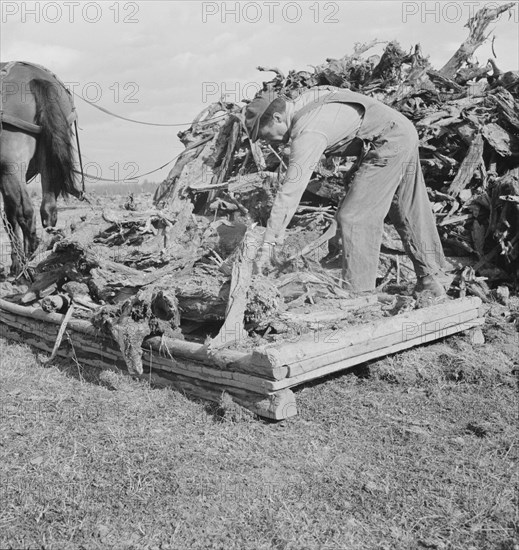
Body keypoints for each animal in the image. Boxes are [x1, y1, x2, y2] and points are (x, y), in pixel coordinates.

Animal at [0, 61, 81, 276]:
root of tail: (34, 77)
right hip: (47, 160)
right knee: (48, 209)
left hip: (10, 166)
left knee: (24, 212)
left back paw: (25, 264)